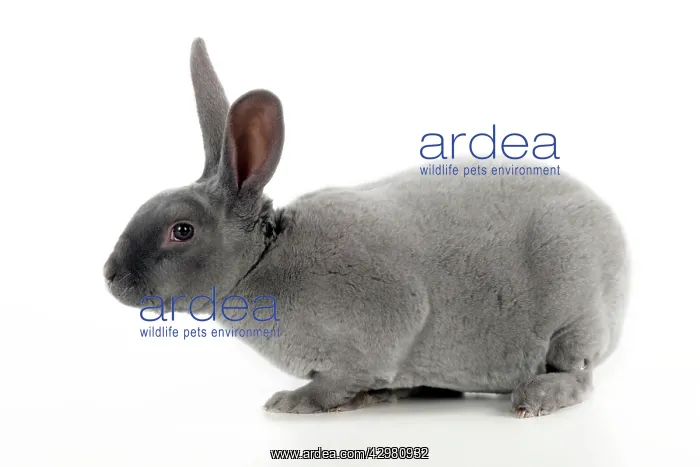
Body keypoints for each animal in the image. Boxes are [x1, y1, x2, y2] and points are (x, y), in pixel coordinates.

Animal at [104, 38, 629, 418]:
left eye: (182, 231)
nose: (109, 277)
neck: (262, 260)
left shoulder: (385, 321)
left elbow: (341, 380)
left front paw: (293, 403)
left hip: (575, 317)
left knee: (579, 376)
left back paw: (533, 399)